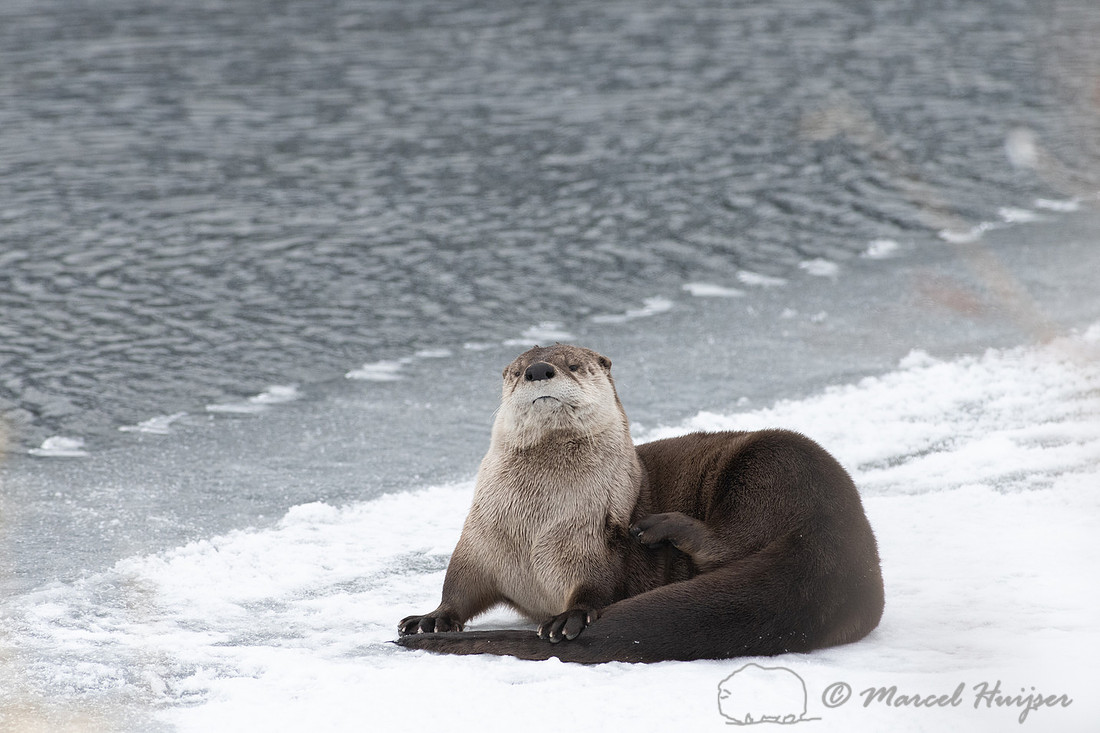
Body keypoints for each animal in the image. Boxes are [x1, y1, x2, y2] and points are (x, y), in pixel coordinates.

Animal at [397, 344, 884, 663]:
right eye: (516, 372)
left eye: (573, 365)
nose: (537, 370)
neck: (536, 526)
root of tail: (839, 529)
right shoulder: (480, 539)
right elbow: (459, 584)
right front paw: (431, 618)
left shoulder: (590, 542)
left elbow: (594, 587)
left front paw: (569, 618)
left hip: (772, 467)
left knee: (727, 541)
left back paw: (658, 527)